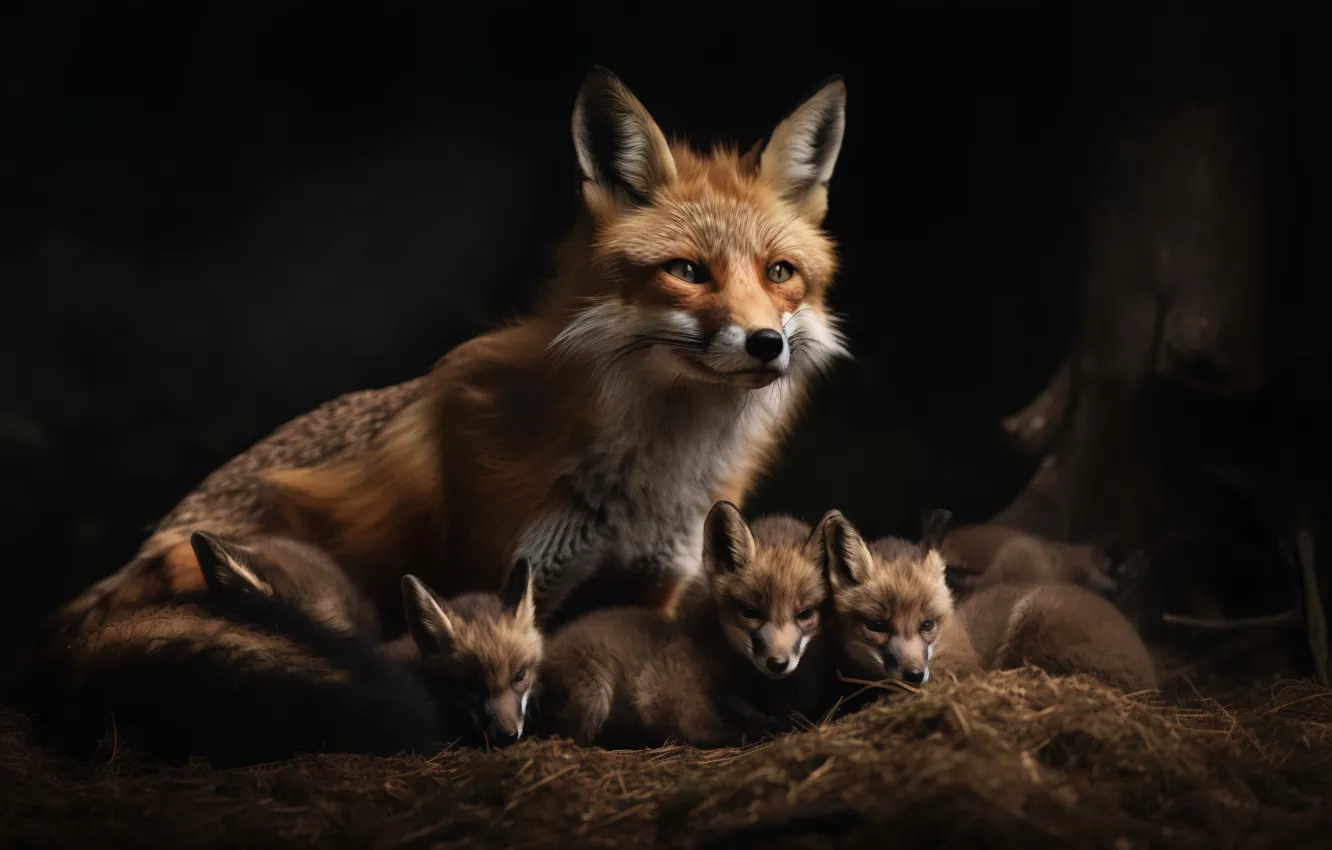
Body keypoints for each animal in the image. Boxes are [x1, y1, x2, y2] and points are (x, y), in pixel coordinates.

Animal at [51, 66, 851, 649]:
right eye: (688, 271)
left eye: (780, 273)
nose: (766, 343)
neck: (652, 484)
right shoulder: (506, 580)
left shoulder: (656, 584)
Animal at [534, 501, 838, 749]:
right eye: (750, 612)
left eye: (805, 613)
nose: (778, 663)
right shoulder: (681, 707)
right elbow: (741, 730)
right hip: (592, 699)